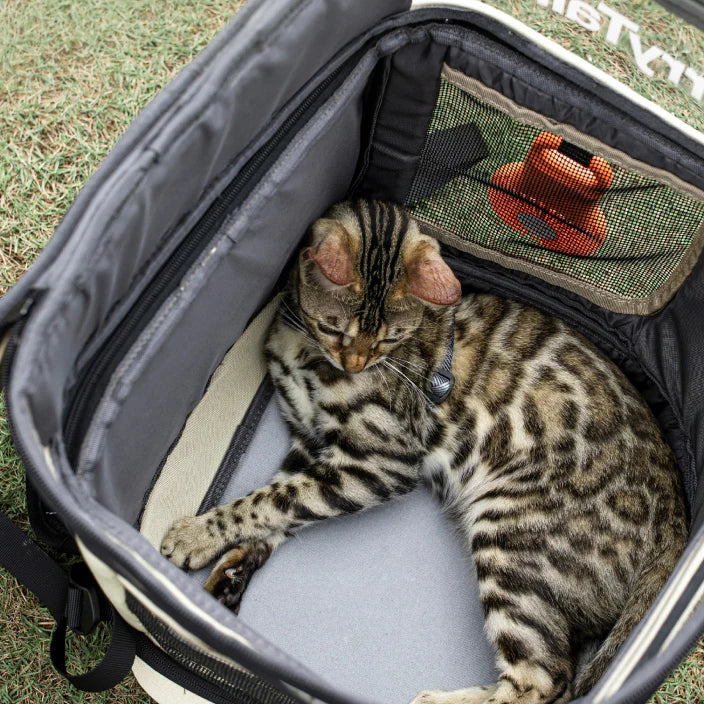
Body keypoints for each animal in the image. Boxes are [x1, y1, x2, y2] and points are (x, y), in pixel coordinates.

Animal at [161, 199, 688, 704]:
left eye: (391, 339)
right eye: (334, 327)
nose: (357, 363)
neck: (303, 348)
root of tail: (677, 513)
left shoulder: (378, 463)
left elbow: (271, 501)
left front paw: (197, 534)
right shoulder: (311, 445)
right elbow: (281, 504)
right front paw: (228, 574)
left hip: (509, 535)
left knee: (546, 678)